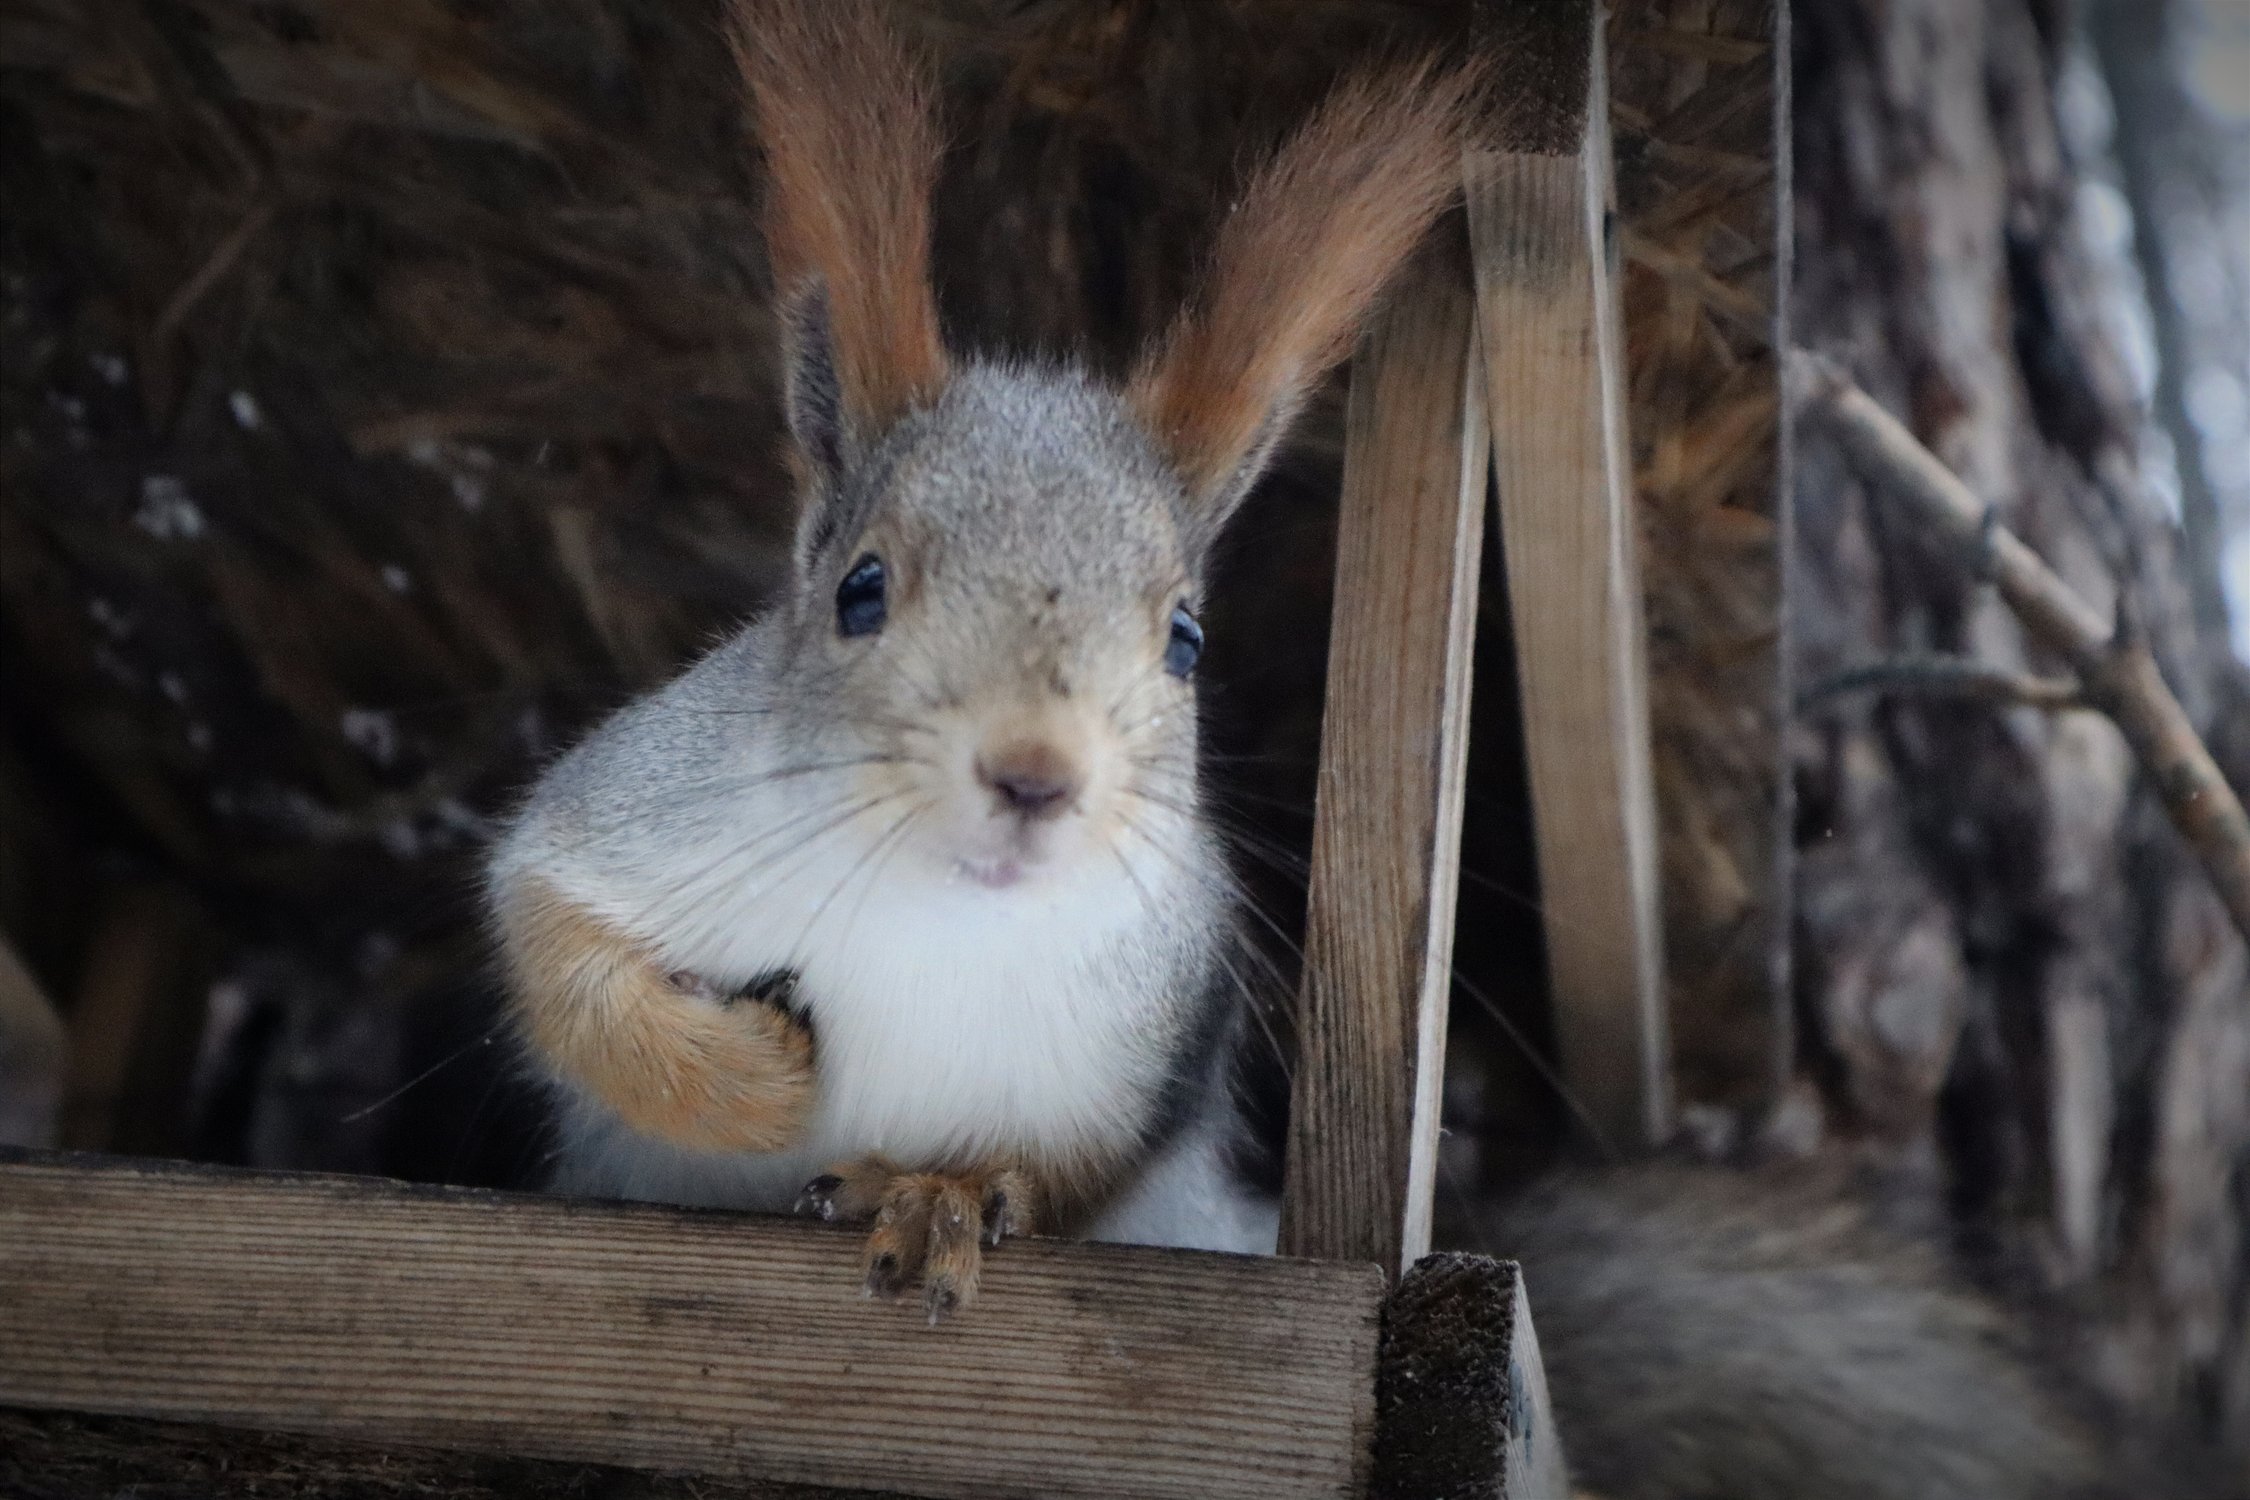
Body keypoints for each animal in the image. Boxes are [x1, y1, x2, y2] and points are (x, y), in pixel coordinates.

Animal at [483, 2, 2223, 1500]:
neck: (944, 909)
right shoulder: (640, 810)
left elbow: (1084, 1166)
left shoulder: (1165, 1010)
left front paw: (948, 1190)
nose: (1036, 777)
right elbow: (553, 941)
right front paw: (745, 1084)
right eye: (857, 592)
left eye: (1184, 637)